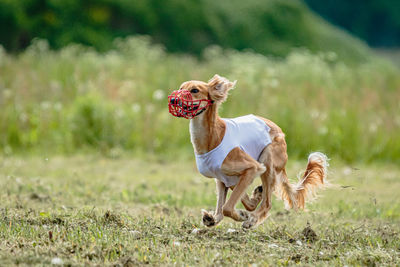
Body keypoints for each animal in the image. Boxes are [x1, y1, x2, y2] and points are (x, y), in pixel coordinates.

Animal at [167, 74, 326, 229]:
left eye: (194, 90)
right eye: (181, 88)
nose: (174, 99)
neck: (212, 137)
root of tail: (280, 131)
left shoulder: (252, 167)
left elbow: (227, 208)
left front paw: (242, 216)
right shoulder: (222, 178)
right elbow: (223, 208)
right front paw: (213, 218)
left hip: (267, 160)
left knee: (267, 203)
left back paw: (252, 219)